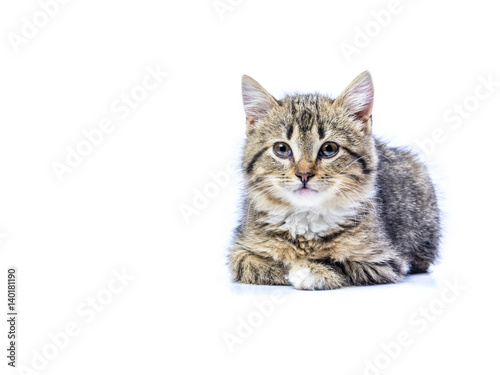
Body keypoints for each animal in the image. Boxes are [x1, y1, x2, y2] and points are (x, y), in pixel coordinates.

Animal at [229, 72, 440, 290]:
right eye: (281, 149)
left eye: (329, 149)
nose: (304, 174)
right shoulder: (239, 251)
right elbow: (258, 265)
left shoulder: (386, 260)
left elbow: (344, 264)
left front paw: (309, 271)